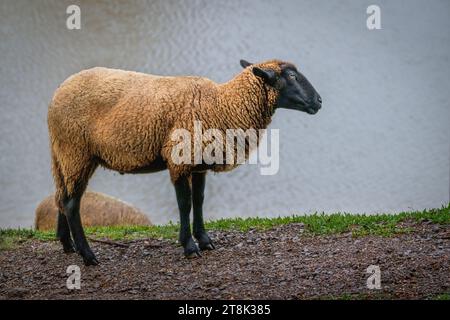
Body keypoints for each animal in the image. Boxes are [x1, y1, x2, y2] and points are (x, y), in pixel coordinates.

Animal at [47, 58, 322, 264]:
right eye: (291, 76)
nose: (319, 101)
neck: (221, 106)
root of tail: (56, 95)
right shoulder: (180, 160)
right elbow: (184, 204)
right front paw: (189, 246)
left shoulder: (200, 164)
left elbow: (199, 201)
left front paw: (205, 240)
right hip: (76, 152)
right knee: (71, 203)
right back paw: (88, 255)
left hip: (62, 154)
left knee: (61, 195)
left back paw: (68, 244)